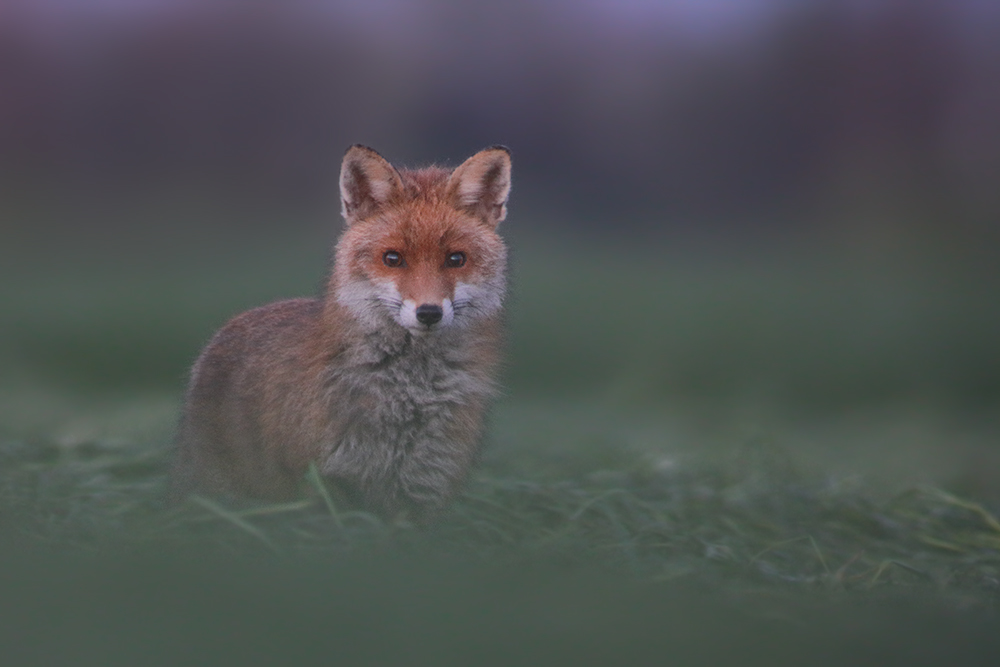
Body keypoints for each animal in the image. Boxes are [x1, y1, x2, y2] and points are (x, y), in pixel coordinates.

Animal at [171, 145, 512, 520]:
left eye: (456, 259)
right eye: (393, 258)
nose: (429, 313)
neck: (409, 398)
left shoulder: (428, 485)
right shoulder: (323, 481)